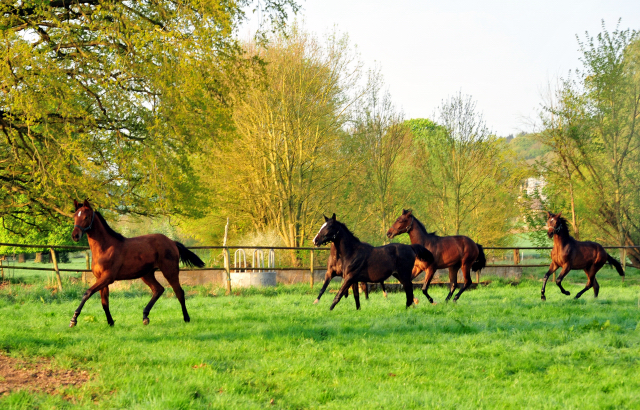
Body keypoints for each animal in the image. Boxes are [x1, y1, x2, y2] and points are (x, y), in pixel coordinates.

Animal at [68, 199, 204, 326]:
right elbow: (104, 302)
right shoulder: (100, 278)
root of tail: (172, 242)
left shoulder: (107, 277)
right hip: (147, 274)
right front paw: (111, 323)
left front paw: (73, 320)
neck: (105, 248)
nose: (75, 236)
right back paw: (145, 317)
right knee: (158, 289)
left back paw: (186, 318)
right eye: (74, 216)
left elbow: (87, 293)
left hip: (170, 271)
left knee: (179, 292)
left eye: (86, 217)